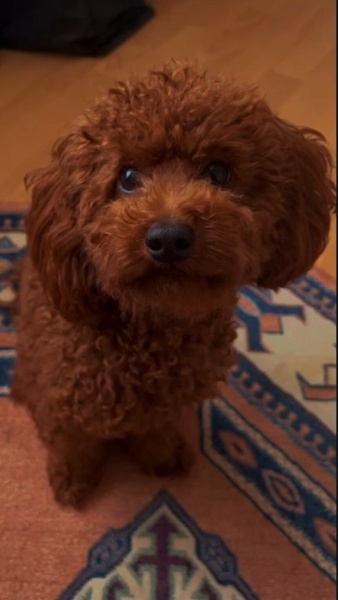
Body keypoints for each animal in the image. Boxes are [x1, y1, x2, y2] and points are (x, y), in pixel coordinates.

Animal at [11, 63, 336, 508]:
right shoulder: (65, 401)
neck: (154, 330)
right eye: (127, 177)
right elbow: (74, 445)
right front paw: (73, 482)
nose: (168, 238)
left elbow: (158, 430)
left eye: (219, 172)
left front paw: (162, 457)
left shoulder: (166, 406)